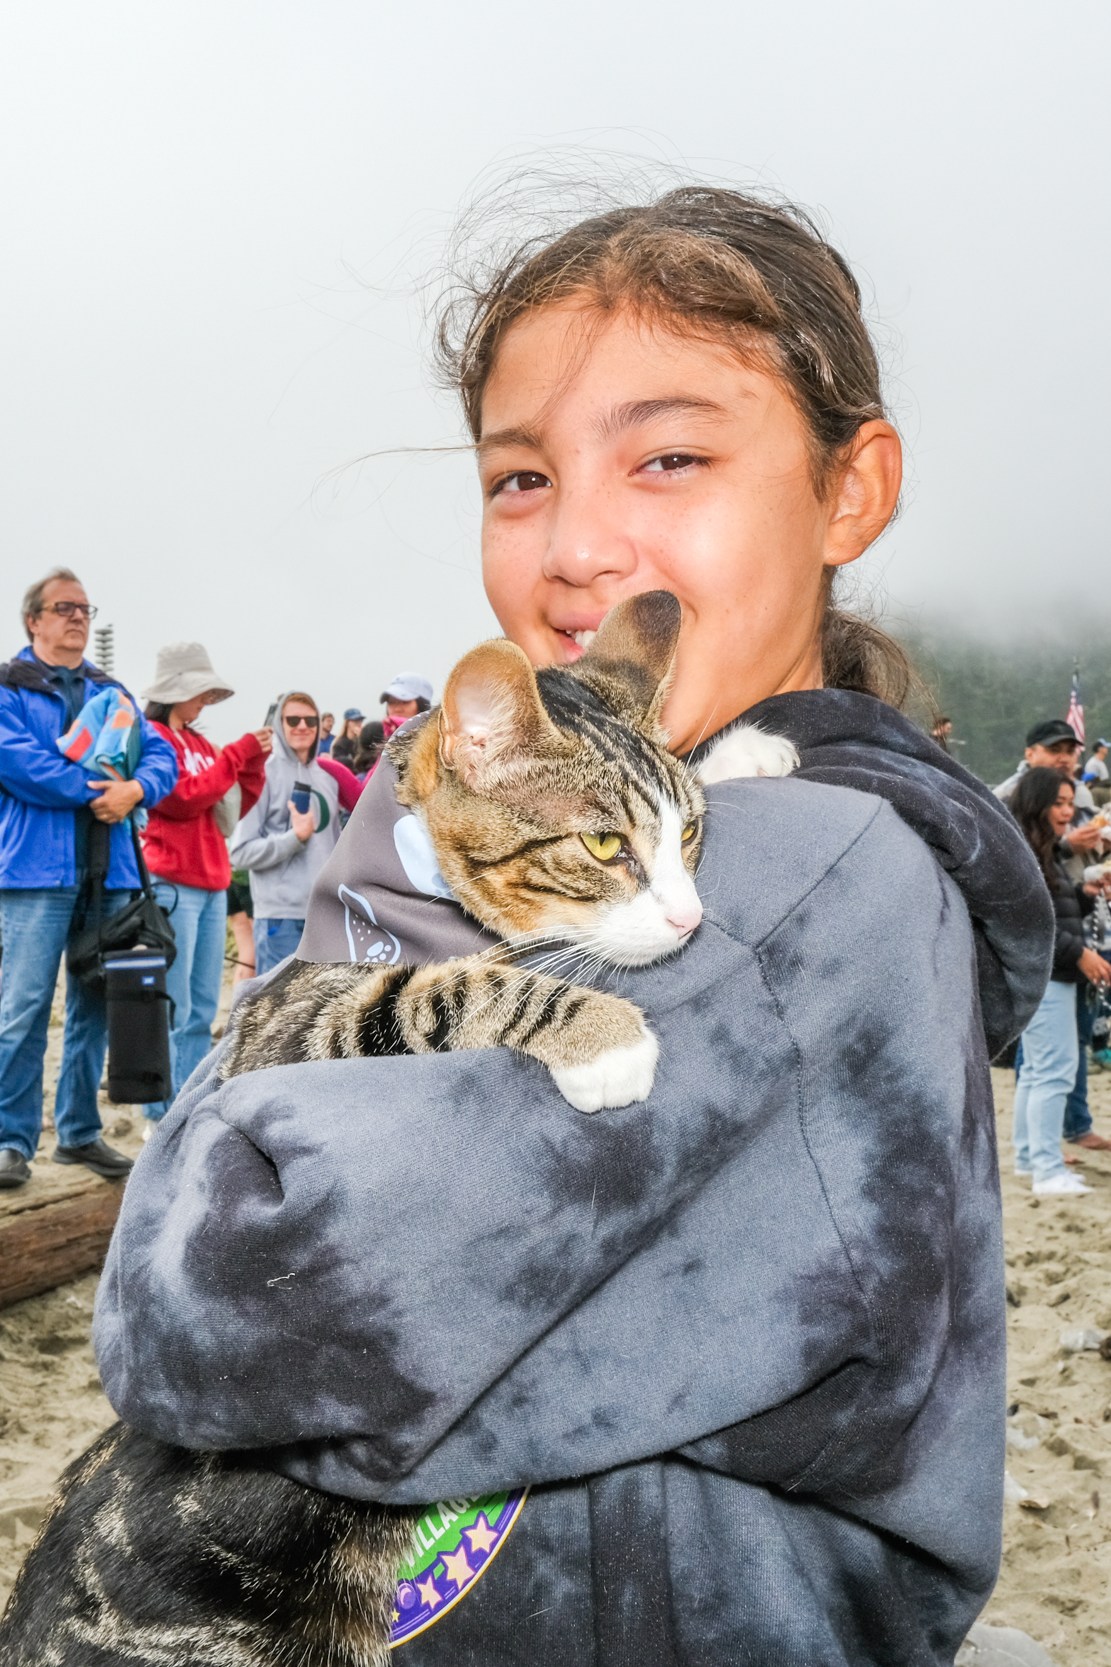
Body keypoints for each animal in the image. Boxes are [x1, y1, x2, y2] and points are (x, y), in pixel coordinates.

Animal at [0, 593, 797, 1667]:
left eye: (692, 837)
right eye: (601, 849)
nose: (686, 921)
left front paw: (739, 752)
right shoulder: (289, 1020)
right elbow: (435, 988)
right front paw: (600, 1034)